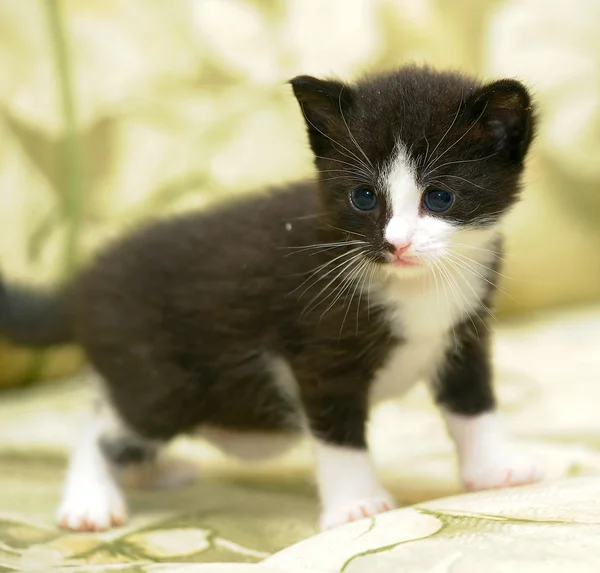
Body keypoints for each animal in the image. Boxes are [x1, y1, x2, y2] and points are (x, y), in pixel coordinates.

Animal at [0, 65, 544, 528]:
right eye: (364, 197)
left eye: (440, 197)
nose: (397, 243)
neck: (416, 287)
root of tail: (83, 284)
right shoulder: (319, 351)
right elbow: (338, 433)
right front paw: (356, 506)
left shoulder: (463, 330)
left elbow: (473, 402)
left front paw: (496, 470)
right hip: (160, 380)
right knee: (103, 429)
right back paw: (91, 500)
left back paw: (152, 472)